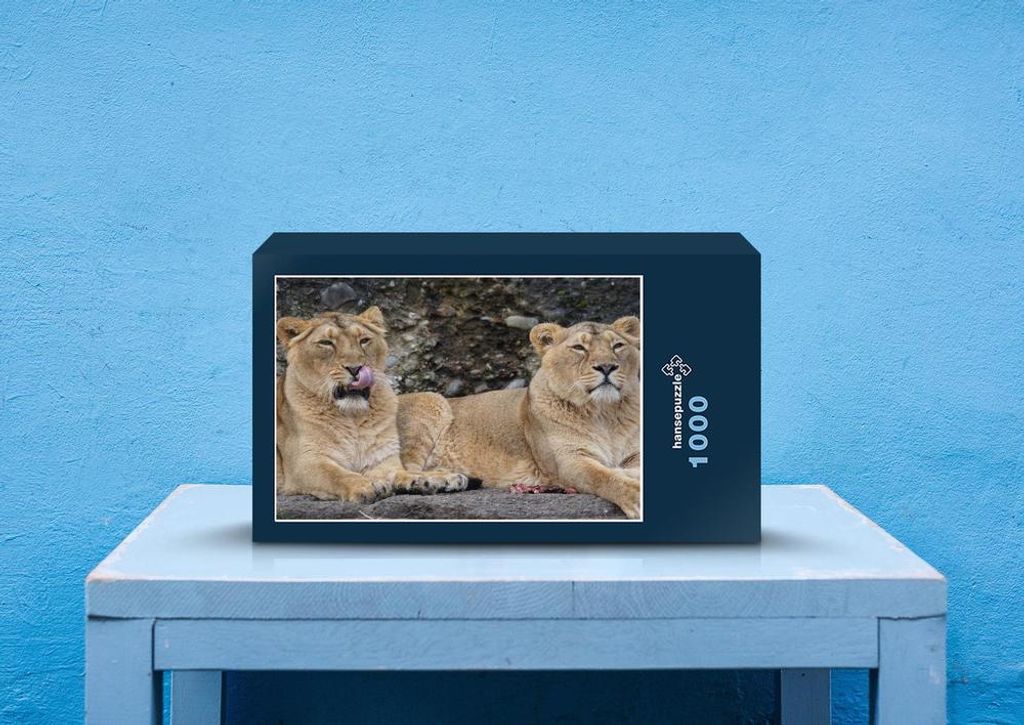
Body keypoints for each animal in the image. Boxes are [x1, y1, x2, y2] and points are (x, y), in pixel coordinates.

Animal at [276, 306, 469, 503]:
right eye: (326, 343)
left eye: (364, 340)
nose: (355, 368)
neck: (352, 416)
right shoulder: (304, 463)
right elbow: (338, 475)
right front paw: (367, 485)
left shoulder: (381, 459)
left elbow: (402, 472)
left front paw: (439, 479)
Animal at [398, 316, 641, 518]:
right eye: (579, 348)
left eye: (617, 345)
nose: (607, 367)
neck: (603, 413)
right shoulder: (567, 460)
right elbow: (604, 477)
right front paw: (635, 495)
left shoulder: (634, 453)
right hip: (430, 401)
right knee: (393, 475)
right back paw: (439, 481)